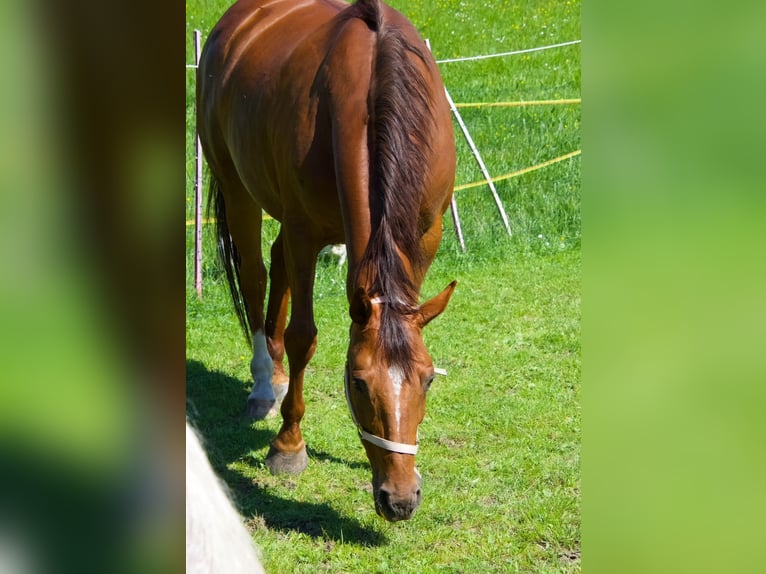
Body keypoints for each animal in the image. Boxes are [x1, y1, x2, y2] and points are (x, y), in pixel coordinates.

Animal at [197, 0, 456, 522]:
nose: (400, 499)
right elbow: (304, 337)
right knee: (255, 276)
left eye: (426, 381)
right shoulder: (305, 231)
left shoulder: (426, 234)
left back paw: (276, 376)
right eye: (358, 384)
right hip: (237, 187)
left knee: (275, 264)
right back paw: (264, 383)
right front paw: (288, 447)